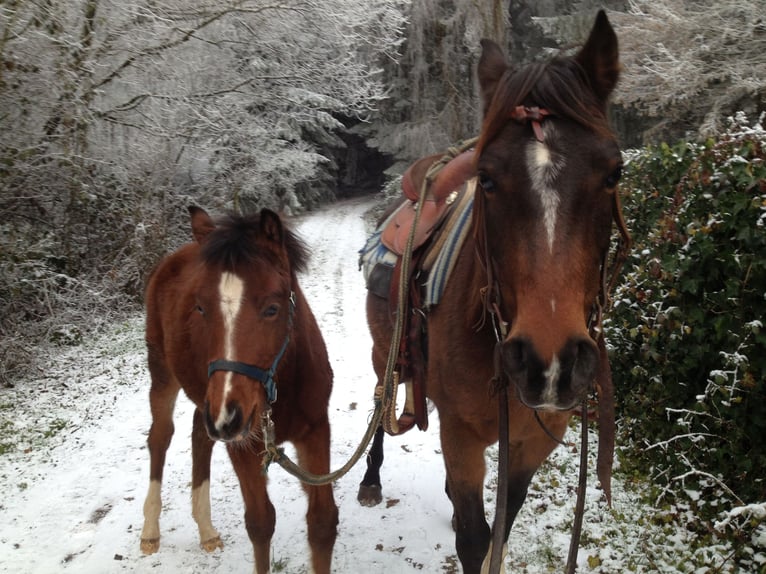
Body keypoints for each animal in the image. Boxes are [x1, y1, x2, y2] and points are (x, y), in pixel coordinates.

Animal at [139, 206, 338, 574]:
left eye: (272, 308)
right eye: (200, 307)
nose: (227, 418)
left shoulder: (316, 429)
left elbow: (322, 522)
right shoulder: (243, 444)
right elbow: (260, 523)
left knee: (198, 433)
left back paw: (206, 530)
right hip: (165, 375)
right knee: (161, 436)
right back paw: (150, 531)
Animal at [359, 11, 625, 573]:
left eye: (615, 172)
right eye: (485, 178)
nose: (550, 363)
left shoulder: (534, 440)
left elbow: (504, 524)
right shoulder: (461, 434)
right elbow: (474, 539)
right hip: (381, 351)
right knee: (380, 405)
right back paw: (369, 479)